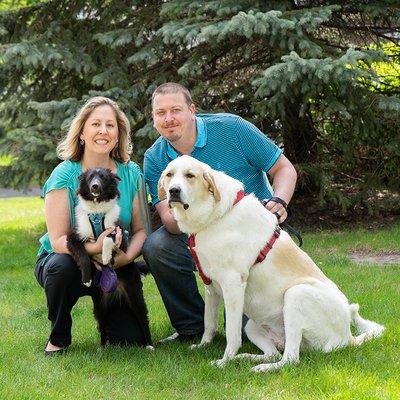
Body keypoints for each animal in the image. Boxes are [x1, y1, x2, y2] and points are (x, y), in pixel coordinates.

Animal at [67, 166, 152, 346]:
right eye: (90, 178)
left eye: (103, 178)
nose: (95, 186)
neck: (97, 210)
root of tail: (115, 291)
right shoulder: (73, 237)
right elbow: (83, 256)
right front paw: (86, 278)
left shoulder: (119, 233)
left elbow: (106, 237)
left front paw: (106, 257)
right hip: (99, 305)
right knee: (102, 325)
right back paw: (102, 347)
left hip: (135, 296)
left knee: (143, 318)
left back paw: (149, 345)